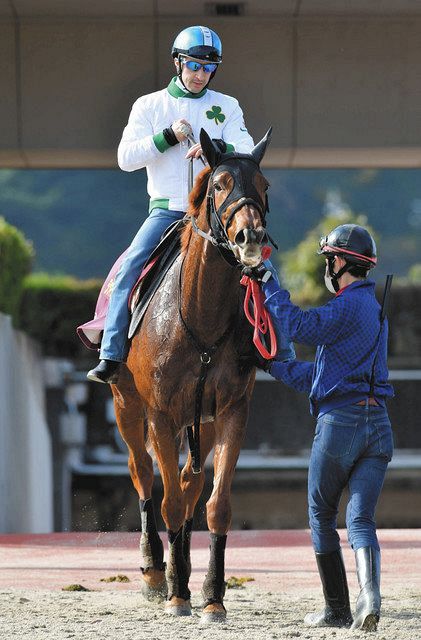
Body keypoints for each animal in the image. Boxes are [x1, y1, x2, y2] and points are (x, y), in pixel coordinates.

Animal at [110, 127, 270, 624]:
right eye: (218, 184)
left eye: (264, 185)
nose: (251, 235)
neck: (199, 317)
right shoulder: (160, 414)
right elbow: (169, 501)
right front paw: (176, 592)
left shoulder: (232, 410)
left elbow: (214, 505)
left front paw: (212, 595)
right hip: (127, 405)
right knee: (143, 473)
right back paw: (154, 571)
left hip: (201, 421)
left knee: (188, 482)